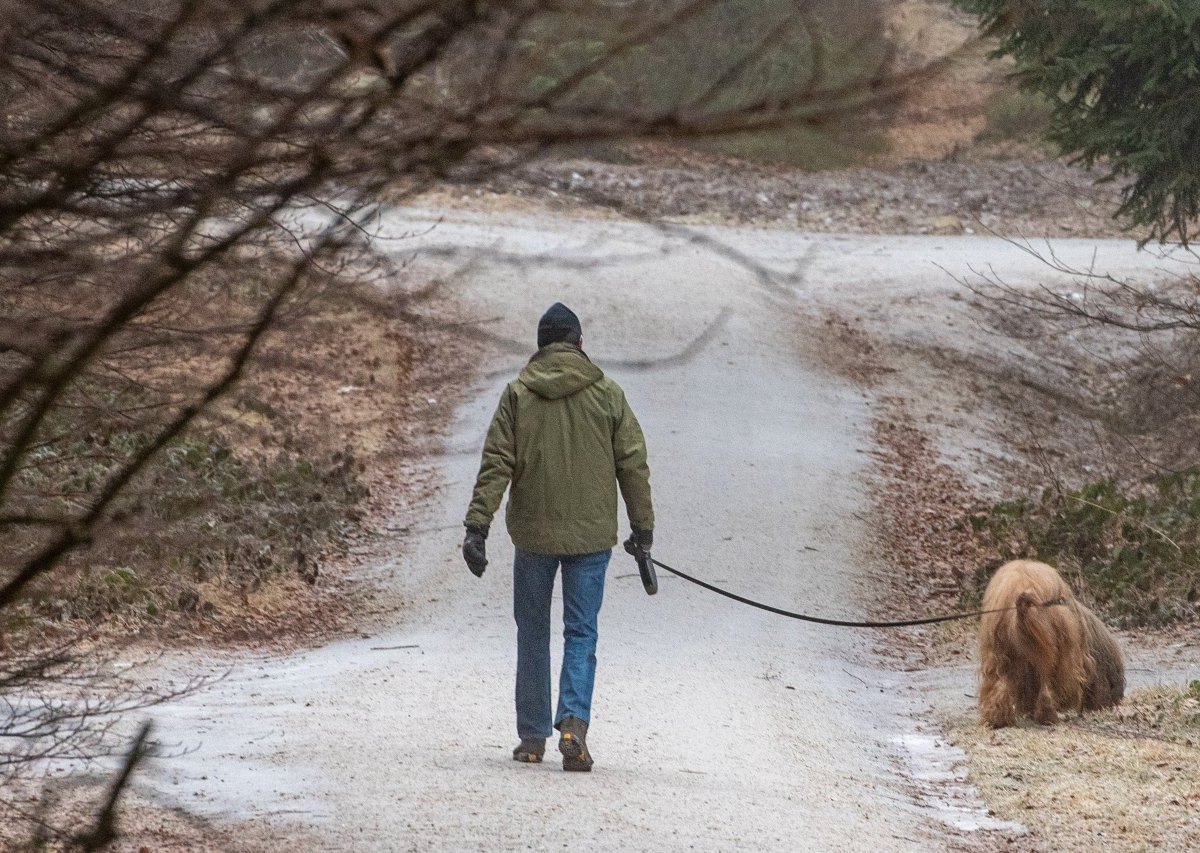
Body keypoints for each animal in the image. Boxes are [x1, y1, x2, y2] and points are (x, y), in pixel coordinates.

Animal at [974, 561, 1123, 729]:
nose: (1114, 700)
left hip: (998, 649)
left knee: (998, 683)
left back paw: (997, 719)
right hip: (1054, 650)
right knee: (1047, 683)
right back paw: (1048, 716)